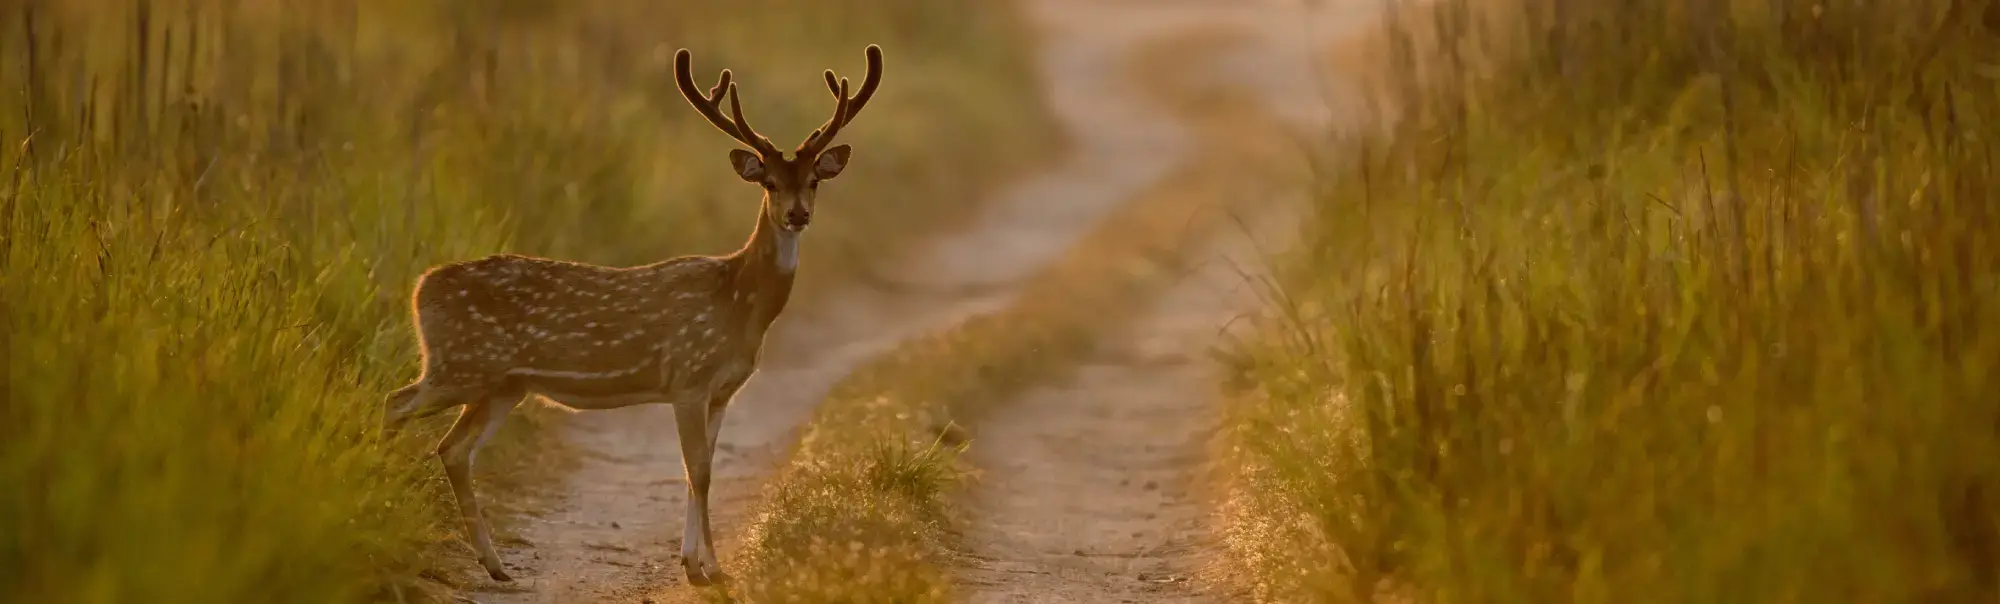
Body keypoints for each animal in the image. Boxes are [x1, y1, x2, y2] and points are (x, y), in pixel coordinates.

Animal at [382, 42, 884, 584]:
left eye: (814, 180)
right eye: (768, 182)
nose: (797, 214)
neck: (738, 303)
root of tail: (421, 288)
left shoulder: (722, 391)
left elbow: (699, 469)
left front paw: (695, 562)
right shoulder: (688, 376)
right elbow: (699, 471)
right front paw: (710, 569)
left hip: (503, 384)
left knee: (453, 449)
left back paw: (494, 565)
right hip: (460, 363)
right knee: (397, 403)